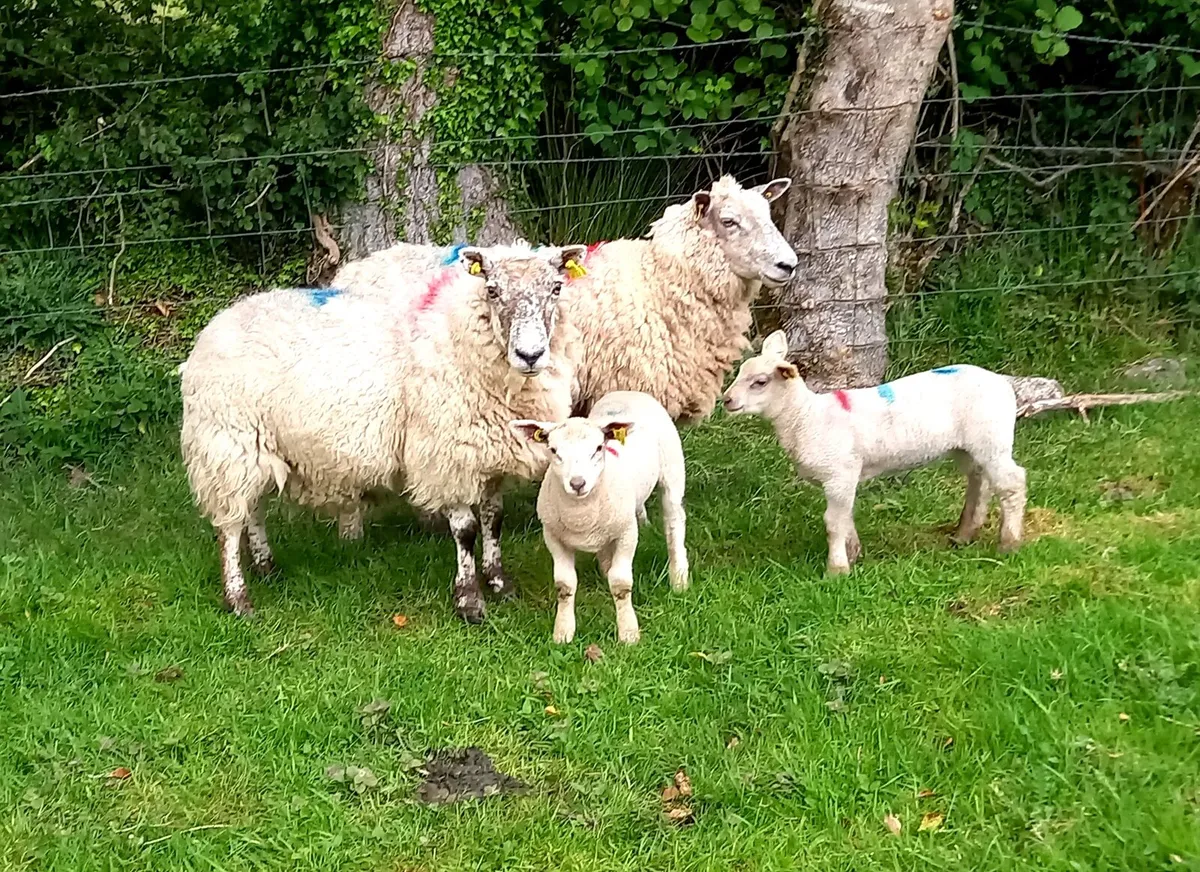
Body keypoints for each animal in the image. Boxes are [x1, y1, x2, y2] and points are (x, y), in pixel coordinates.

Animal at [180, 241, 587, 621]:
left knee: (254, 510)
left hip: (256, 447)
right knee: (230, 525)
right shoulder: (446, 456)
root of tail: (220, 321)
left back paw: (266, 565)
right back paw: (238, 598)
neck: (459, 338)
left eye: (556, 287)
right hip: (227, 442)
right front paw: (469, 600)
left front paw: (500, 581)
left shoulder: (487, 453)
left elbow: (493, 520)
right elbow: (466, 529)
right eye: (492, 290)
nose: (530, 354)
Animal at [510, 391, 688, 645]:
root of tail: (628, 392)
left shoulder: (627, 533)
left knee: (674, 523)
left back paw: (679, 578)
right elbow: (564, 585)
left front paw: (628, 634)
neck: (581, 514)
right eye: (553, 450)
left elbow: (621, 584)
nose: (577, 483)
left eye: (597, 448)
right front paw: (563, 633)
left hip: (672, 471)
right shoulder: (553, 536)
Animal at [721, 330, 1027, 573]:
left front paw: (837, 569)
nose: (726, 400)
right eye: (740, 372)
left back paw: (1009, 543)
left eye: (760, 382)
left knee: (1012, 484)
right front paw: (852, 554)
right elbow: (845, 517)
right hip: (968, 446)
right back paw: (964, 535)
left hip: (992, 437)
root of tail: (1002, 382)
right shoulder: (844, 478)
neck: (806, 418)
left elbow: (833, 522)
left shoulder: (839, 473)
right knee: (980, 481)